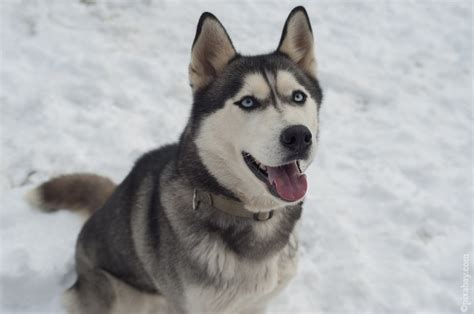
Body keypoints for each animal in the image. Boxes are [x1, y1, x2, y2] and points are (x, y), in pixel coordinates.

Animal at [28, 5, 322, 314]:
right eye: (248, 102)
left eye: (298, 97)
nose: (298, 136)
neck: (254, 216)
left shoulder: (257, 303)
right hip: (123, 293)